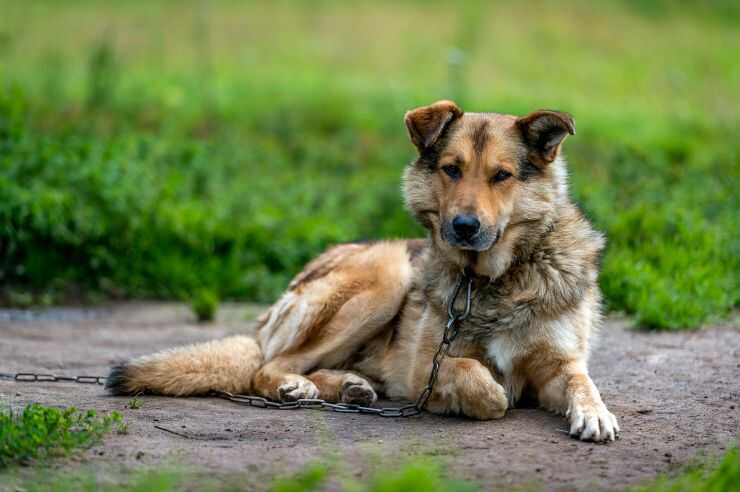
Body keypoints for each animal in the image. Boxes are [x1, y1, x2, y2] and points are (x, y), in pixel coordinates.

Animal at [108, 100, 620, 442]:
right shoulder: (424, 368)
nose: (464, 227)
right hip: (384, 276)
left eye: (502, 176)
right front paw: (486, 395)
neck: (491, 279)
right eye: (452, 169)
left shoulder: (559, 362)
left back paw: (349, 386)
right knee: (269, 366)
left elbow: (581, 380)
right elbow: (482, 383)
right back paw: (298, 386)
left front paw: (594, 413)